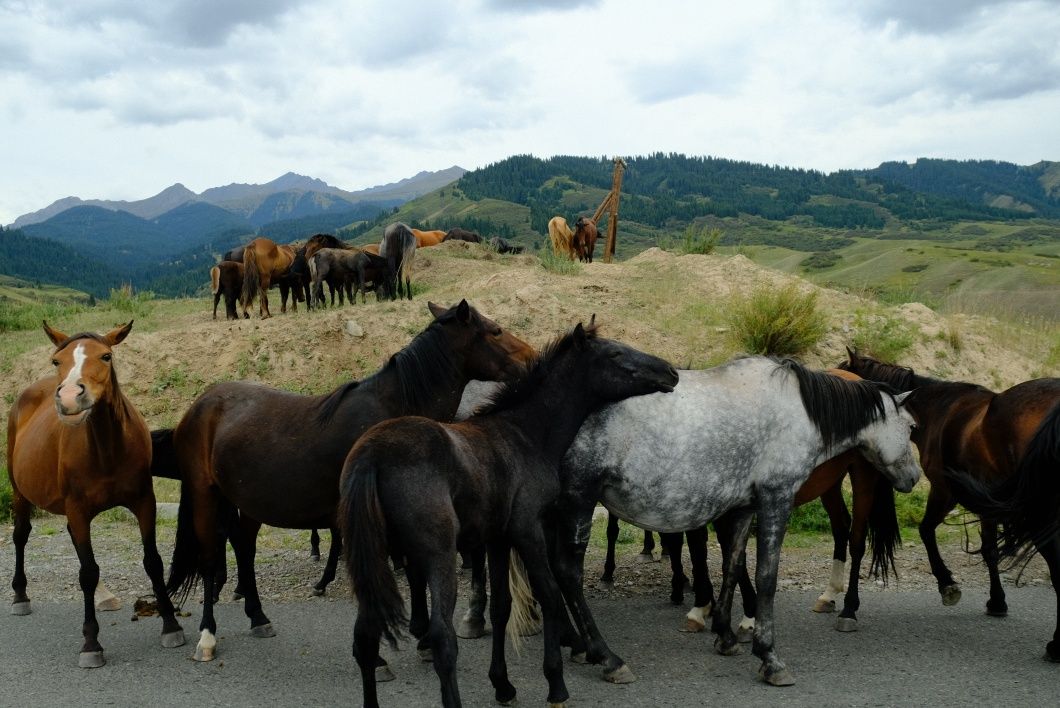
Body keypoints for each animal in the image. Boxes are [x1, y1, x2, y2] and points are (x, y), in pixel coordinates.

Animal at [6, 324, 185, 665]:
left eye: (106, 356)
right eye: (56, 360)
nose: (68, 397)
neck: (107, 449)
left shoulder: (145, 501)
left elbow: (153, 561)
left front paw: (171, 625)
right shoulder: (78, 509)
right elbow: (87, 572)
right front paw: (91, 642)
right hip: (20, 491)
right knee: (21, 536)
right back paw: (20, 595)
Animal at [163, 301, 538, 665]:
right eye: (496, 330)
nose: (532, 357)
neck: (392, 415)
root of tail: (201, 404)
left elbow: (415, 573)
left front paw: (422, 638)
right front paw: (384, 656)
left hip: (246, 502)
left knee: (244, 550)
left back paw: (258, 618)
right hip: (205, 496)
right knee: (210, 561)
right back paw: (207, 636)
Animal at [343, 320, 682, 708]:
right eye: (614, 353)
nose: (670, 372)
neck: (526, 433)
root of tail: (372, 454)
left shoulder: (497, 539)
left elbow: (502, 607)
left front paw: (503, 684)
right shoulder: (528, 530)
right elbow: (549, 594)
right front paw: (556, 683)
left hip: (373, 557)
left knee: (365, 638)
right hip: (438, 554)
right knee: (442, 639)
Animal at [546, 360, 920, 686]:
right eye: (912, 427)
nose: (915, 477)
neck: (797, 410)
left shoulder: (742, 508)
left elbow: (732, 565)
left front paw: (725, 636)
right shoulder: (775, 499)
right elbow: (765, 576)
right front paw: (768, 657)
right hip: (578, 500)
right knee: (569, 574)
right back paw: (606, 657)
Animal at [839, 347, 1055, 618]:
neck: (937, 409)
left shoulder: (944, 492)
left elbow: (926, 530)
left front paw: (947, 584)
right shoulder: (988, 502)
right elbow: (989, 549)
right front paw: (996, 600)